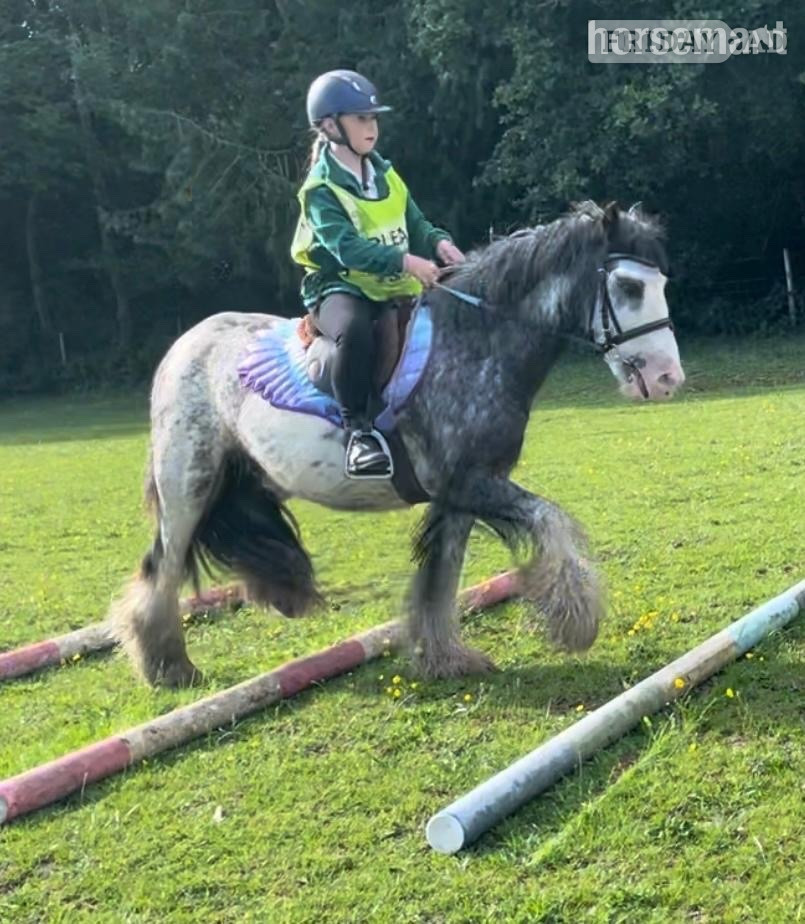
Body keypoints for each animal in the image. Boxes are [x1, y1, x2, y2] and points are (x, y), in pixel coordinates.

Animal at [110, 200, 684, 688]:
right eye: (630, 286)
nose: (668, 379)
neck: (476, 341)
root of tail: (186, 344)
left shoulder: (461, 493)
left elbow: (442, 577)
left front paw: (446, 656)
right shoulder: (473, 483)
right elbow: (551, 522)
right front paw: (576, 622)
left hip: (251, 476)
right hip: (188, 483)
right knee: (163, 566)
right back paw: (167, 666)